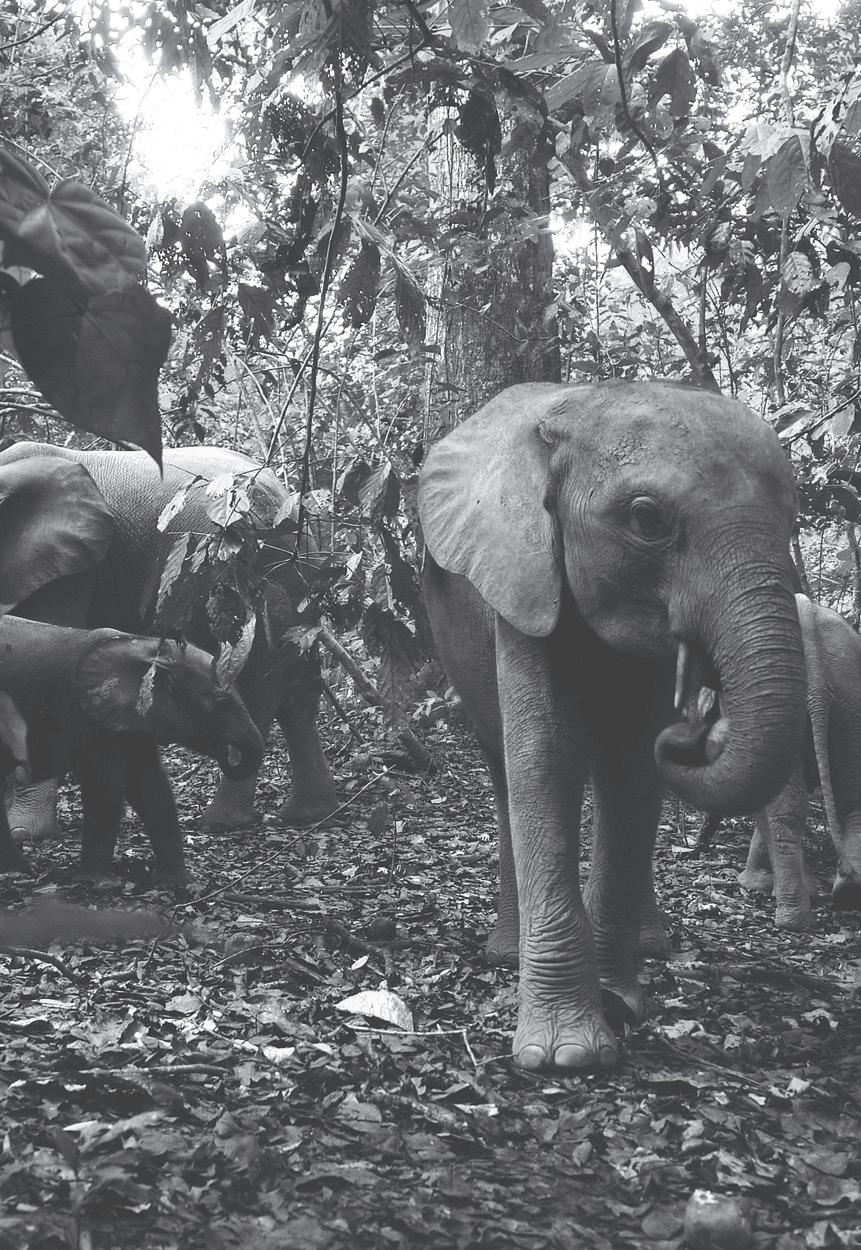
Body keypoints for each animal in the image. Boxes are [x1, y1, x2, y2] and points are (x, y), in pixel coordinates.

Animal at [0, 443, 338, 838]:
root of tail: (289, 497)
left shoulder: (71, 567)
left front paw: (25, 833)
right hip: (296, 581)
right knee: (297, 690)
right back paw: (310, 813)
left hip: (259, 575)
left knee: (257, 681)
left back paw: (221, 821)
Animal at [0, 614, 264, 882]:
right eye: (222, 704)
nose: (230, 755)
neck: (145, 646)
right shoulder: (85, 717)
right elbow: (105, 788)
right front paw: (97, 882)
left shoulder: (131, 717)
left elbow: (149, 784)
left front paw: (181, 882)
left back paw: (21, 869)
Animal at [418, 381, 806, 1072]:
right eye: (647, 520)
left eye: (793, 518)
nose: (695, 729)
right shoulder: (522, 578)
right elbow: (544, 758)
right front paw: (564, 1055)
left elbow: (630, 769)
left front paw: (619, 1003)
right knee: (502, 764)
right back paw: (505, 954)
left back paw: (648, 950)